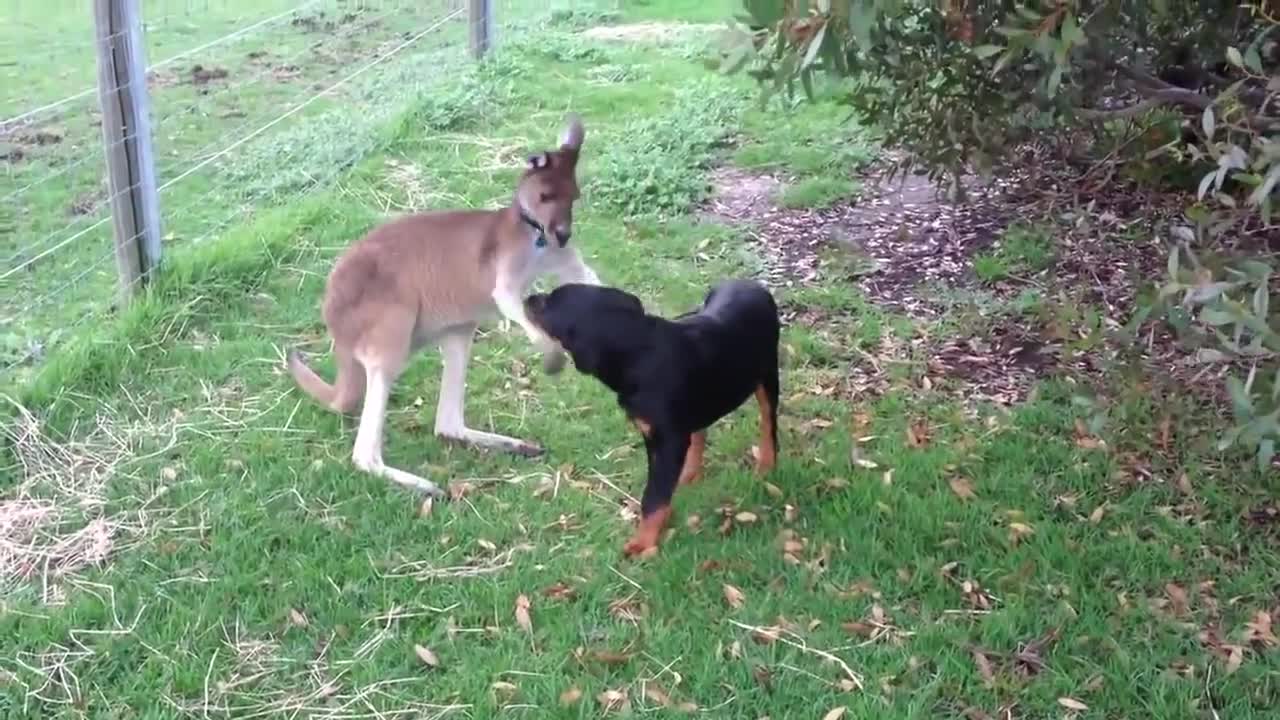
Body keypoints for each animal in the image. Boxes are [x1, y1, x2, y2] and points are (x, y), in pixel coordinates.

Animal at [519, 275, 778, 556]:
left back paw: (766, 464)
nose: (528, 298)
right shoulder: (655, 436)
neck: (638, 352)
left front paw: (642, 543)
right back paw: (690, 473)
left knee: (768, 424)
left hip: (767, 374)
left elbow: (654, 497)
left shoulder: (667, 441)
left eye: (549, 304)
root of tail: (751, 284)